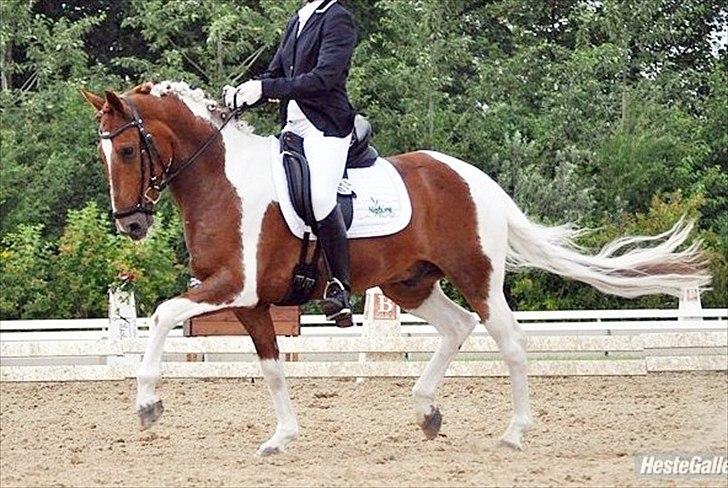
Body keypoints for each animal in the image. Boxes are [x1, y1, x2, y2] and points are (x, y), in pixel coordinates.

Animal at [81, 81, 710, 456]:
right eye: (104, 152)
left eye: (129, 150)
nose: (130, 224)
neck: (222, 181)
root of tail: (474, 178)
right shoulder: (252, 302)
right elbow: (272, 367)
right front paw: (281, 437)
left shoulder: (233, 287)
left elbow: (162, 314)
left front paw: (147, 405)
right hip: (408, 284)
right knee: (458, 327)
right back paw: (427, 410)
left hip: (477, 276)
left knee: (509, 341)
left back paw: (514, 434)